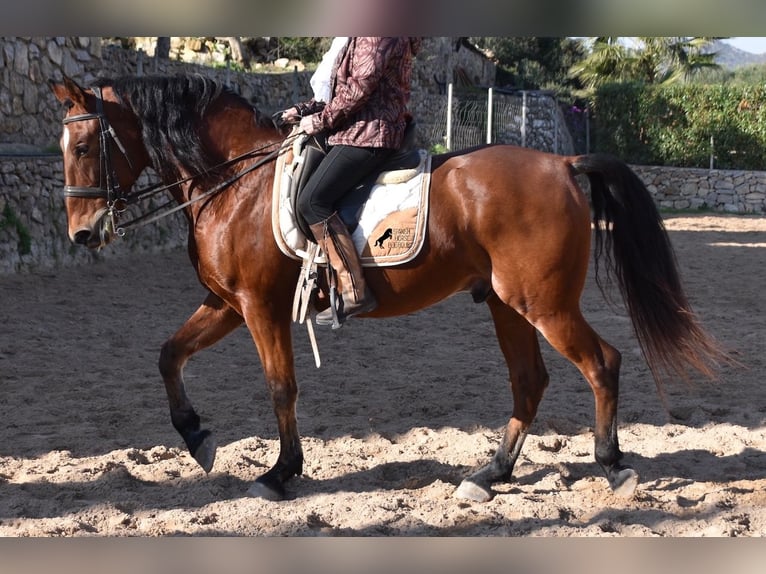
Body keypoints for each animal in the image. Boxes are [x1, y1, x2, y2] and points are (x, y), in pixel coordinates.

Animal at [51, 75, 728, 504]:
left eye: (83, 145)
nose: (82, 234)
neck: (235, 183)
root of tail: (562, 164)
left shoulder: (258, 307)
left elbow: (280, 387)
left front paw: (280, 473)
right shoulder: (226, 303)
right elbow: (168, 355)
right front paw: (197, 439)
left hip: (544, 304)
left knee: (601, 363)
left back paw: (612, 467)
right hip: (506, 304)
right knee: (530, 381)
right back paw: (489, 474)